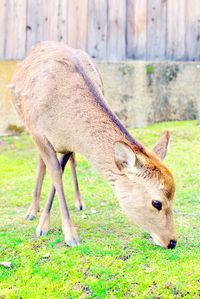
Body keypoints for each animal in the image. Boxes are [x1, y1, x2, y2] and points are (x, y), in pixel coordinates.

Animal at [8, 41, 177, 250]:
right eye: (157, 203)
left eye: (174, 196)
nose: (172, 241)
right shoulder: (38, 132)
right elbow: (55, 174)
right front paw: (63, 234)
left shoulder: (69, 142)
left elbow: (60, 172)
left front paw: (51, 225)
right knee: (42, 163)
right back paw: (32, 210)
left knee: (69, 162)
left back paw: (78, 202)